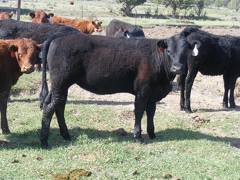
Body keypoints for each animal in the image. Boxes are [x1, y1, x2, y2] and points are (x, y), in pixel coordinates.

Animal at [39, 32, 174, 148]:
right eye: (168, 51)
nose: (176, 68)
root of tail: (59, 36)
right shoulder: (142, 90)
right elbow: (139, 111)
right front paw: (138, 136)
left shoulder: (153, 93)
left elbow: (151, 112)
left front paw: (152, 134)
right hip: (60, 83)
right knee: (50, 107)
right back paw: (44, 141)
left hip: (60, 86)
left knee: (58, 106)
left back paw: (66, 135)